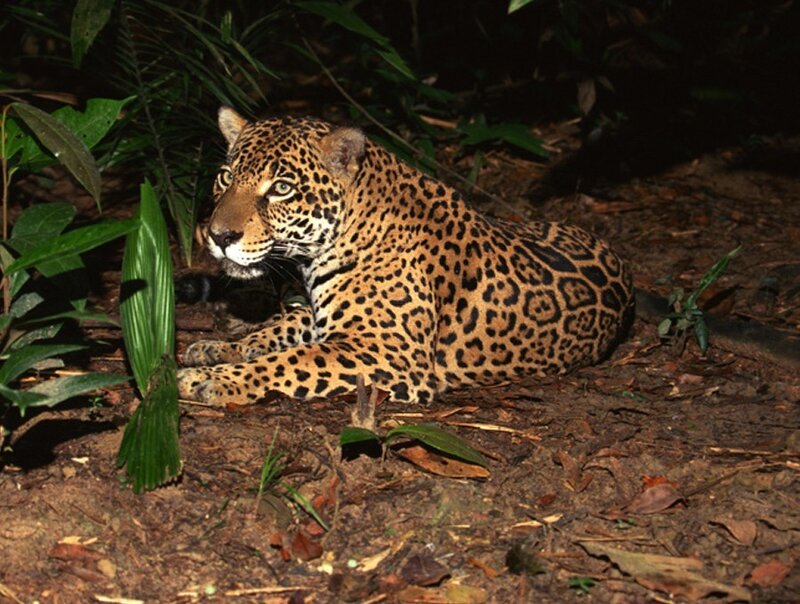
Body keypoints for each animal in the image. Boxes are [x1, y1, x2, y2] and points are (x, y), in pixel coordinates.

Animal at [177, 107, 634, 406]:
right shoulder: (327, 319)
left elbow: (288, 362)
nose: (218, 236)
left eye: (281, 189)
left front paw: (210, 381)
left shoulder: (388, 350)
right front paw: (219, 347)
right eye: (226, 177)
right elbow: (277, 330)